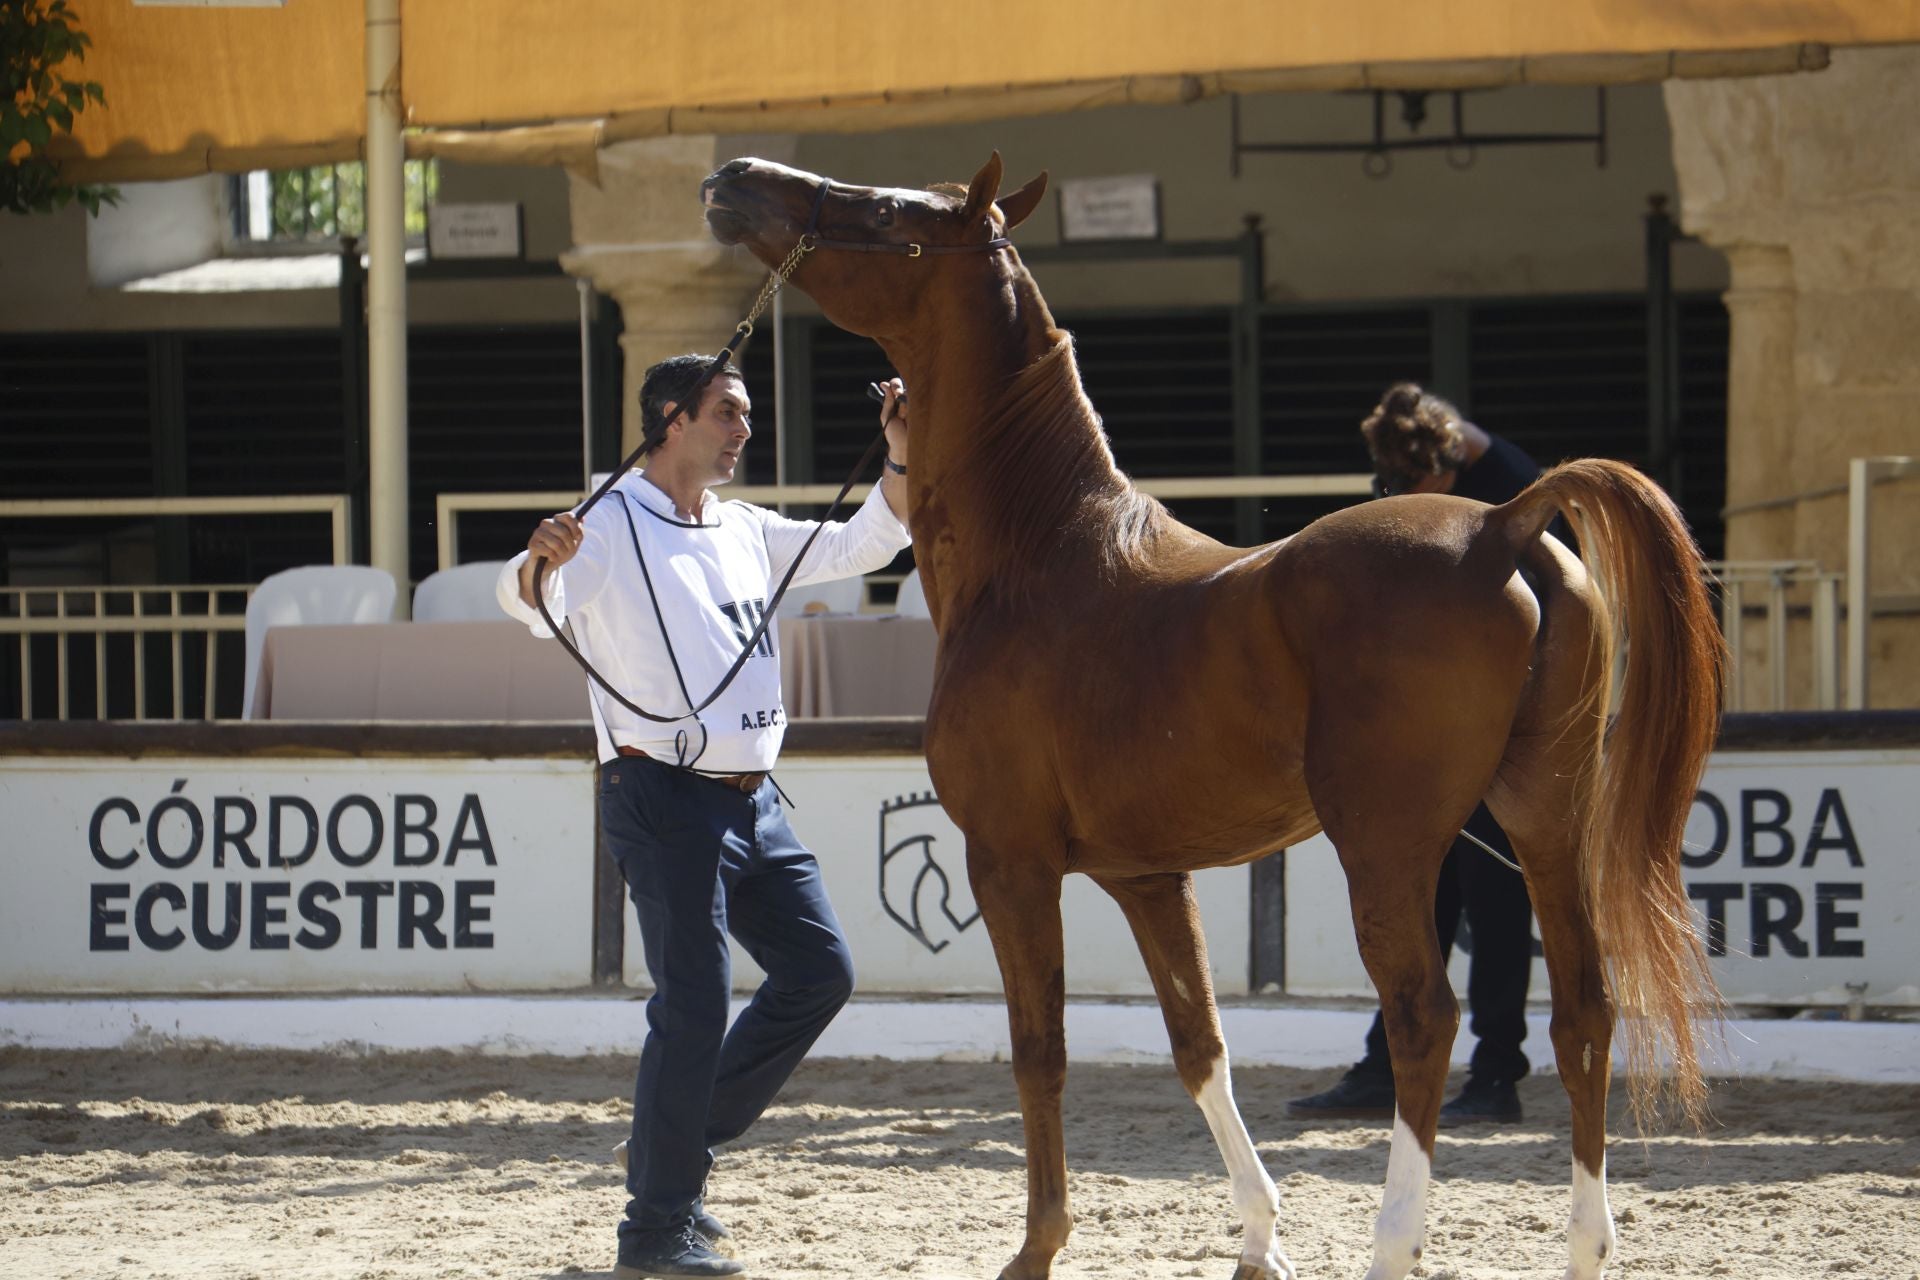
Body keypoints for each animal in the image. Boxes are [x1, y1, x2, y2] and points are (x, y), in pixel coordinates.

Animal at [700, 153, 1725, 1280]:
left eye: (888, 214)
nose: (738, 177)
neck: (1042, 553)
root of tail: (1506, 522)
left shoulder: (1008, 863)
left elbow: (1040, 1050)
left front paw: (1038, 1247)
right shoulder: (1149, 875)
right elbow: (1200, 1046)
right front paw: (1258, 1236)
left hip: (1390, 845)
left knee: (1424, 1014)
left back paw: (1395, 1242)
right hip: (1544, 816)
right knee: (1585, 1005)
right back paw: (1584, 1241)